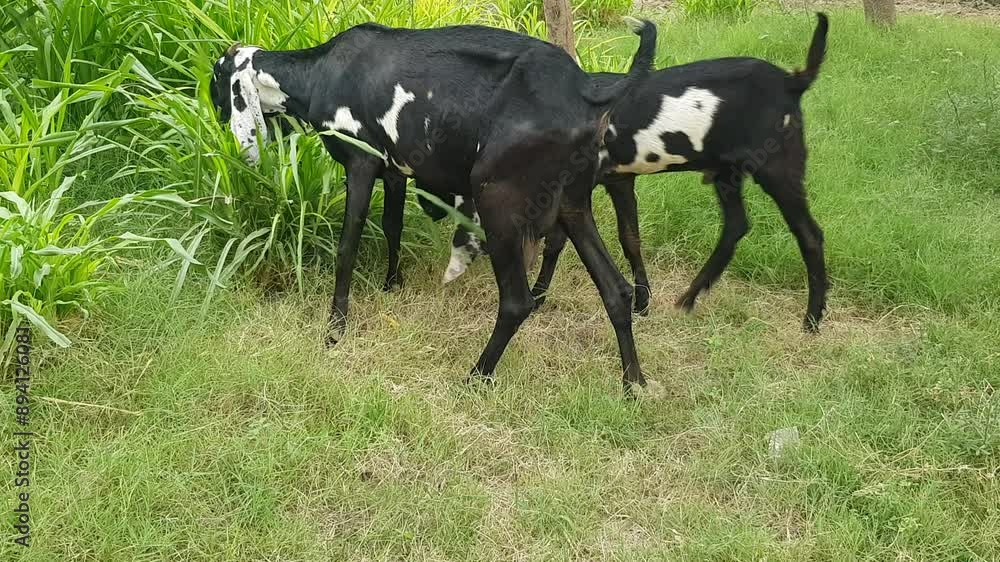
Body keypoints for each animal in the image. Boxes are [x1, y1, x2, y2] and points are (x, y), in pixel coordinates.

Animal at [209, 20, 658, 391]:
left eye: (215, 81)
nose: (216, 120)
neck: (323, 72)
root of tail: (584, 89)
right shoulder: (394, 170)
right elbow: (391, 226)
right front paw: (392, 284)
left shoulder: (360, 163)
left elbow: (347, 247)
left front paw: (335, 330)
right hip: (573, 202)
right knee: (615, 290)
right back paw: (633, 383)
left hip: (498, 199)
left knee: (517, 302)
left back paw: (476, 376)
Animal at [430, 13, 830, 332]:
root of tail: (794, 80)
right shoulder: (616, 181)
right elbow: (628, 238)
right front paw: (642, 301)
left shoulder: (577, 187)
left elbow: (560, 242)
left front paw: (540, 296)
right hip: (727, 173)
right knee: (736, 226)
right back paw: (689, 297)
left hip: (779, 166)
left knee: (809, 234)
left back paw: (812, 319)